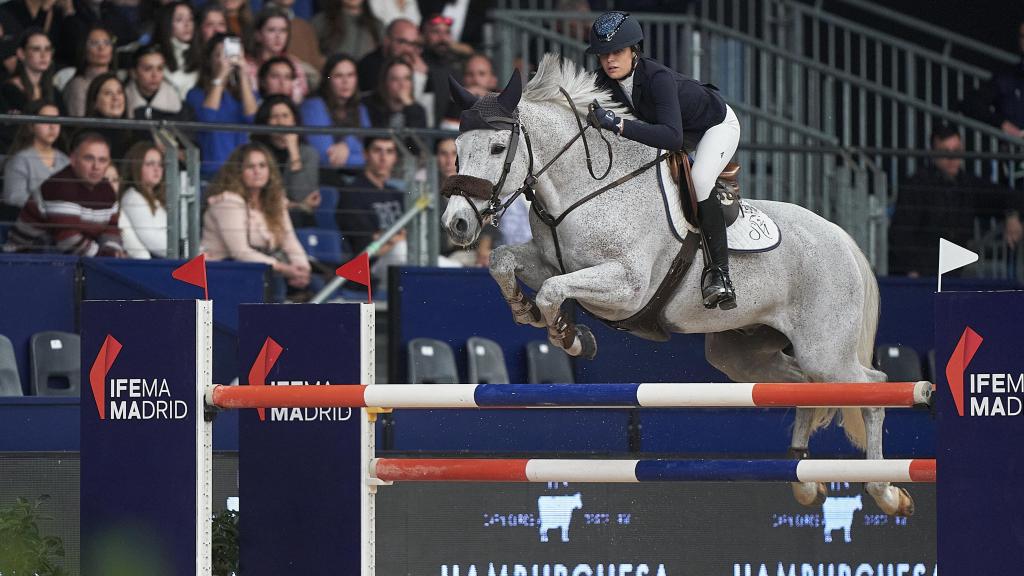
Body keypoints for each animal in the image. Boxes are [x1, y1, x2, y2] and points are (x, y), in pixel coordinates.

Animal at [440, 54, 913, 516]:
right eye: (458, 150)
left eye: (498, 148)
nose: (457, 224)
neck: (585, 188)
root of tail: (844, 241)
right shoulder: (546, 261)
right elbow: (504, 263)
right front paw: (528, 311)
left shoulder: (626, 287)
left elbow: (555, 290)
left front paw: (568, 336)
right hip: (743, 355)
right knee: (803, 387)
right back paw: (804, 480)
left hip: (825, 350)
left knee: (872, 388)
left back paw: (886, 491)